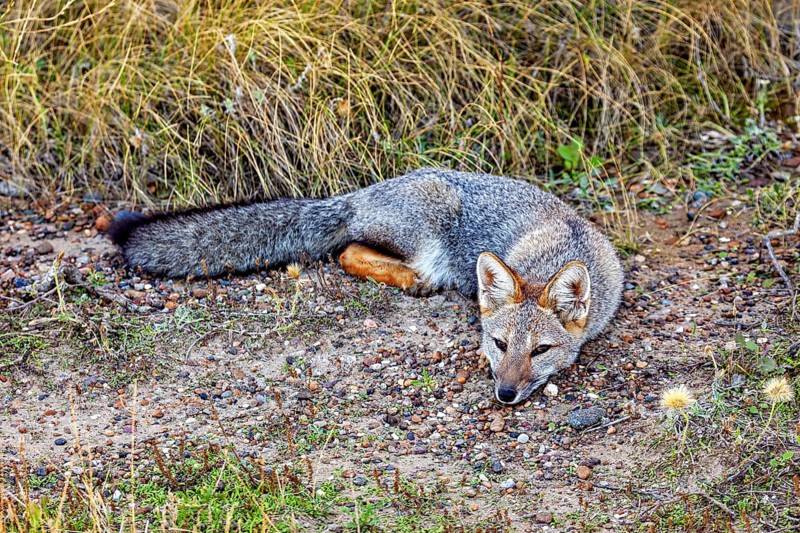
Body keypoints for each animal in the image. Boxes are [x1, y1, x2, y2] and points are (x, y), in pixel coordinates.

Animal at [109, 167, 624, 404]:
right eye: (498, 345)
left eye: (539, 350)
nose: (505, 394)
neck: (565, 244)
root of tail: (358, 193)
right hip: (424, 234)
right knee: (347, 252)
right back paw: (414, 279)